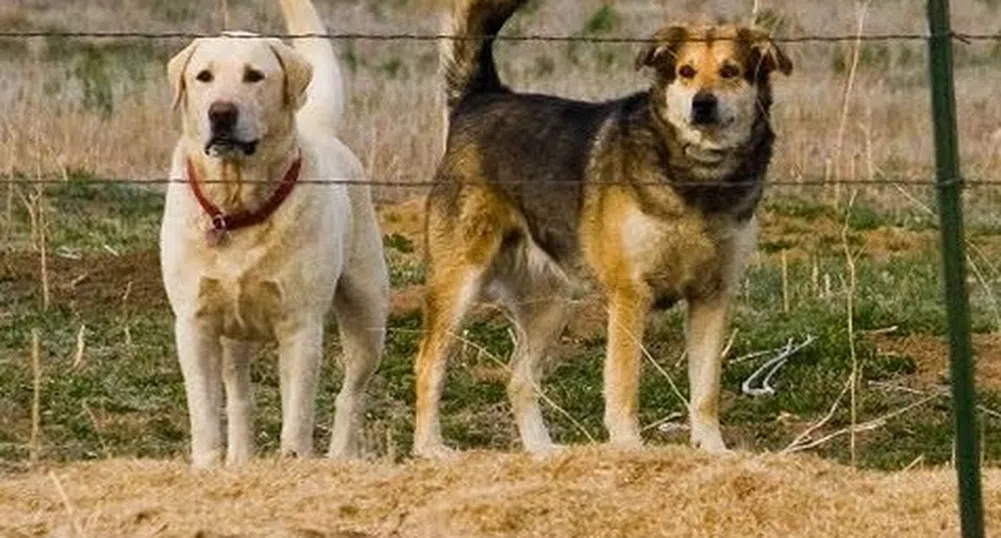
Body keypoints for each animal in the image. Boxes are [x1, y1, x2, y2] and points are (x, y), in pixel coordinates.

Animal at [159, 0, 386, 464]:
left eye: (254, 75)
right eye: (203, 76)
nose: (221, 112)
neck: (237, 206)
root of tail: (321, 127)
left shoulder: (301, 327)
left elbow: (297, 414)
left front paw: (294, 461)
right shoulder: (194, 324)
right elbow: (205, 413)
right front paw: (208, 465)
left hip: (369, 312)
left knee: (351, 394)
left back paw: (340, 456)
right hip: (234, 334)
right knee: (239, 395)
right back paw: (241, 458)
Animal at [412, 0, 788, 456]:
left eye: (731, 71)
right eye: (686, 71)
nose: (703, 104)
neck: (699, 178)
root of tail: (482, 98)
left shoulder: (713, 296)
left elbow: (705, 391)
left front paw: (714, 451)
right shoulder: (630, 294)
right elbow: (624, 383)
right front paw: (629, 448)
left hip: (551, 304)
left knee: (518, 381)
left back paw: (542, 451)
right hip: (460, 284)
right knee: (428, 365)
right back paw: (430, 448)